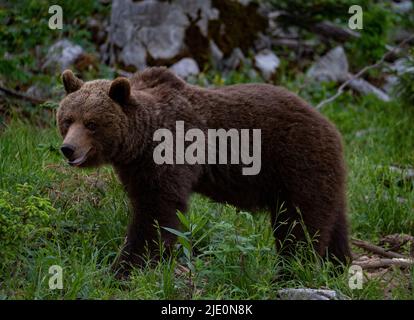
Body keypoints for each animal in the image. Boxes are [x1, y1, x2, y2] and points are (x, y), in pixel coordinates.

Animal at [56, 67, 350, 278]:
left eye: (91, 123)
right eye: (67, 119)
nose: (68, 148)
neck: (139, 142)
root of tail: (331, 126)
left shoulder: (170, 151)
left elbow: (157, 213)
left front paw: (124, 267)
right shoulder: (136, 168)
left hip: (296, 163)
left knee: (300, 223)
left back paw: (293, 270)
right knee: (333, 220)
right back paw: (338, 264)